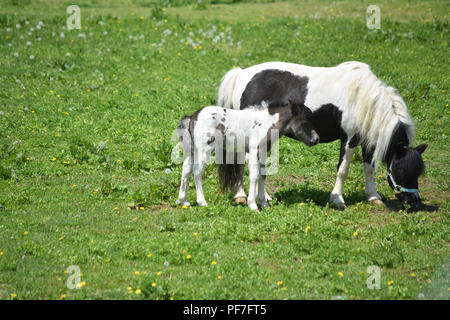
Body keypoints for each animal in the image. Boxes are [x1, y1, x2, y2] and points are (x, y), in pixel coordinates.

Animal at [178, 101, 318, 209]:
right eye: (304, 121)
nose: (316, 139)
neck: (266, 123)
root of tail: (193, 117)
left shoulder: (263, 152)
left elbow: (263, 175)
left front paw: (264, 204)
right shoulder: (254, 151)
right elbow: (254, 175)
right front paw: (253, 205)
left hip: (194, 150)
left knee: (186, 168)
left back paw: (183, 201)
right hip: (205, 149)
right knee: (197, 171)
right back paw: (202, 202)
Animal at [220, 60, 428, 210]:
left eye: (417, 171)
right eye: (401, 169)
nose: (414, 202)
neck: (363, 98)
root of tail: (241, 74)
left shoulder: (367, 139)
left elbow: (369, 168)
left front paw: (373, 197)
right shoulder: (350, 138)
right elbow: (343, 169)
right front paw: (337, 199)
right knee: (245, 161)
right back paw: (244, 196)